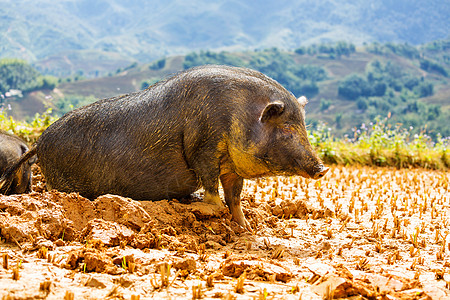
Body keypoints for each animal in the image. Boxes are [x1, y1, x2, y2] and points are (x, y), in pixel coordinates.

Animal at [1, 65, 328, 229]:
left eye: (302, 126)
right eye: (286, 127)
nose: (322, 168)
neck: (238, 113)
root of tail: (40, 141)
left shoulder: (232, 167)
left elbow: (234, 198)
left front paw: (247, 228)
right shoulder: (203, 147)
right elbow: (212, 191)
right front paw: (199, 205)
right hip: (60, 182)